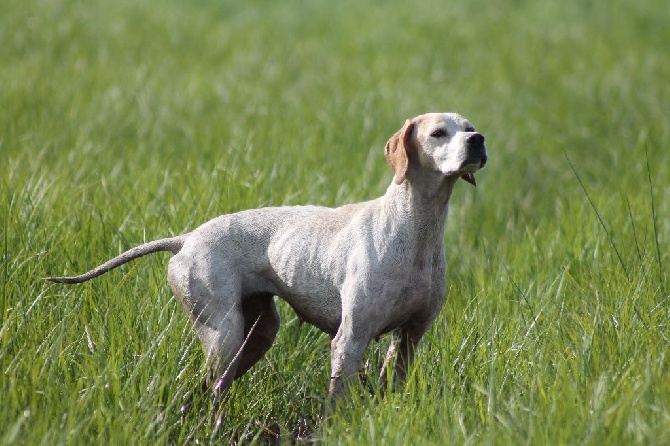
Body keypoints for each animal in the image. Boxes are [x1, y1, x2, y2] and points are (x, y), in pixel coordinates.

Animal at [47, 112, 488, 404]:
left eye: (468, 127)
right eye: (438, 132)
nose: (479, 139)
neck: (415, 230)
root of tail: (186, 239)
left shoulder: (410, 337)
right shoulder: (349, 340)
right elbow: (336, 405)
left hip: (257, 334)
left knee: (212, 388)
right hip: (224, 334)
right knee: (208, 388)